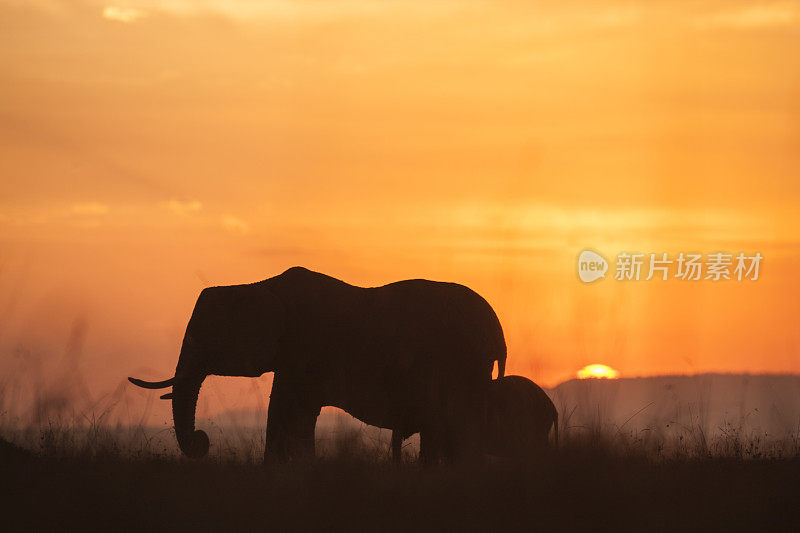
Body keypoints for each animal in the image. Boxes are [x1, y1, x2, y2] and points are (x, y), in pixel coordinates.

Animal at [130, 266, 506, 462]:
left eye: (199, 338)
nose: (202, 442)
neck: (258, 285)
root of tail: (497, 331)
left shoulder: (303, 350)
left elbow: (288, 411)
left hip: (461, 365)